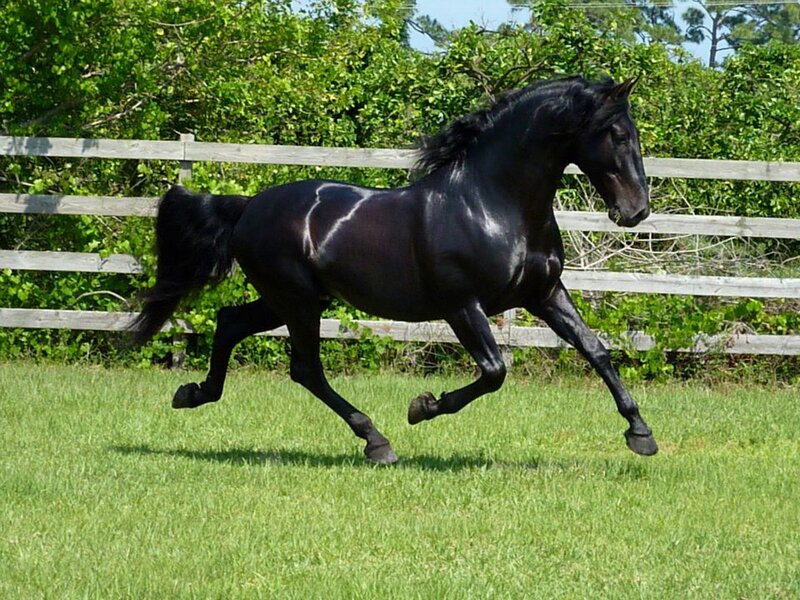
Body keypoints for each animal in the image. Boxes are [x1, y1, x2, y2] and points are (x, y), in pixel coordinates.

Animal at [132, 76, 657, 464]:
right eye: (617, 134)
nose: (636, 211)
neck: (492, 203)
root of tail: (246, 208)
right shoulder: (462, 306)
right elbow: (494, 371)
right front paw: (422, 407)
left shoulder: (545, 294)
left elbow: (596, 351)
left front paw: (640, 433)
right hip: (296, 301)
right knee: (306, 368)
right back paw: (377, 442)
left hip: (291, 299)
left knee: (231, 323)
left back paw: (193, 393)